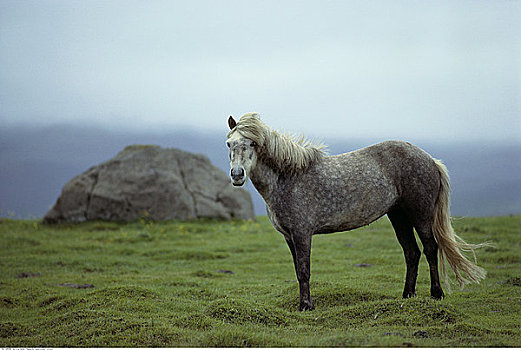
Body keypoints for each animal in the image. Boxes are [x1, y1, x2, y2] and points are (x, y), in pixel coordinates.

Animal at [224, 113, 488, 312]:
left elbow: (304, 270)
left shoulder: (302, 233)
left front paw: (306, 306)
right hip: (398, 216)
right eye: (229, 144)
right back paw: (407, 295)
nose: (237, 175)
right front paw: (304, 304)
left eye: (253, 144)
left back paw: (436, 294)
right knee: (411, 253)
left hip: (420, 215)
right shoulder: (289, 237)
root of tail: (431, 160)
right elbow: (298, 271)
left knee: (430, 248)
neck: (287, 178)